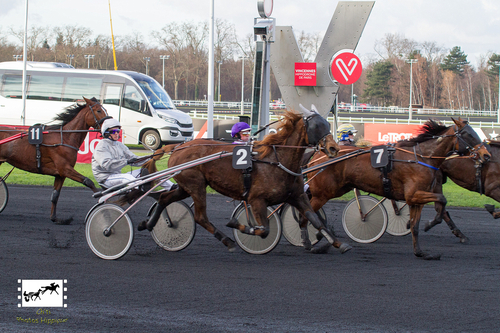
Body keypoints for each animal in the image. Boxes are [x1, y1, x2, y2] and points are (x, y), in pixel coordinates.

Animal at [133, 105, 350, 253]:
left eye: (327, 124)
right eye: (316, 126)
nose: (334, 148)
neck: (277, 160)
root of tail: (178, 147)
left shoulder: (297, 196)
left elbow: (314, 219)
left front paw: (339, 243)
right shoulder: (257, 199)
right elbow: (264, 230)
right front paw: (238, 225)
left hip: (186, 186)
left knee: (164, 198)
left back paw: (148, 224)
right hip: (196, 185)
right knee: (200, 217)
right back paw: (227, 241)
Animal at [302, 117, 490, 260]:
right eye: (468, 134)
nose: (486, 155)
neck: (422, 158)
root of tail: (318, 154)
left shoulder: (416, 199)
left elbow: (415, 225)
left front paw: (420, 252)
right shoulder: (414, 195)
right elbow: (442, 201)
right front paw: (430, 223)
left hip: (337, 189)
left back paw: (323, 237)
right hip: (323, 193)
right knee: (306, 212)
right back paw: (312, 241)